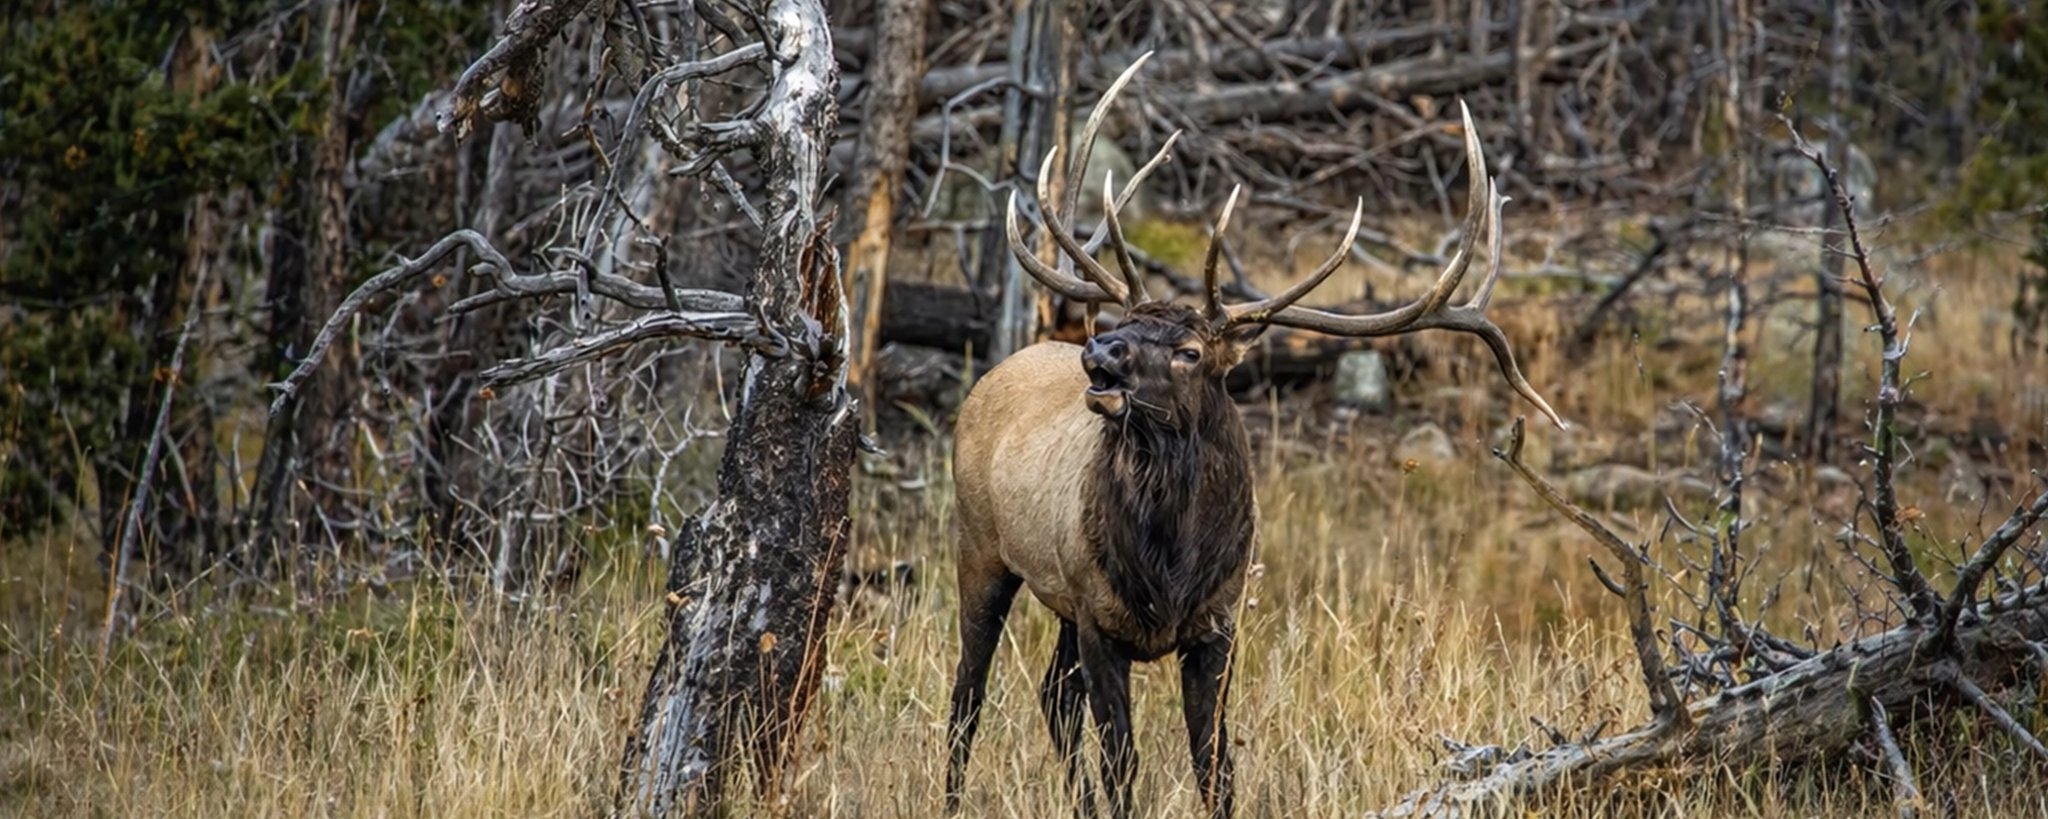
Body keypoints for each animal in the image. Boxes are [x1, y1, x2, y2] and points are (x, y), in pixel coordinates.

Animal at [943, 55, 1566, 819]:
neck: (1170, 568)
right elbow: (1125, 765)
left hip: (1054, 596)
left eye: (1189, 350)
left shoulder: (1217, 622)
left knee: (1052, 698)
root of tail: (996, 371)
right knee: (968, 693)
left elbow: (1215, 766)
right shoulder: (1100, 617)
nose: (1100, 350)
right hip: (981, 545)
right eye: (1125, 323)